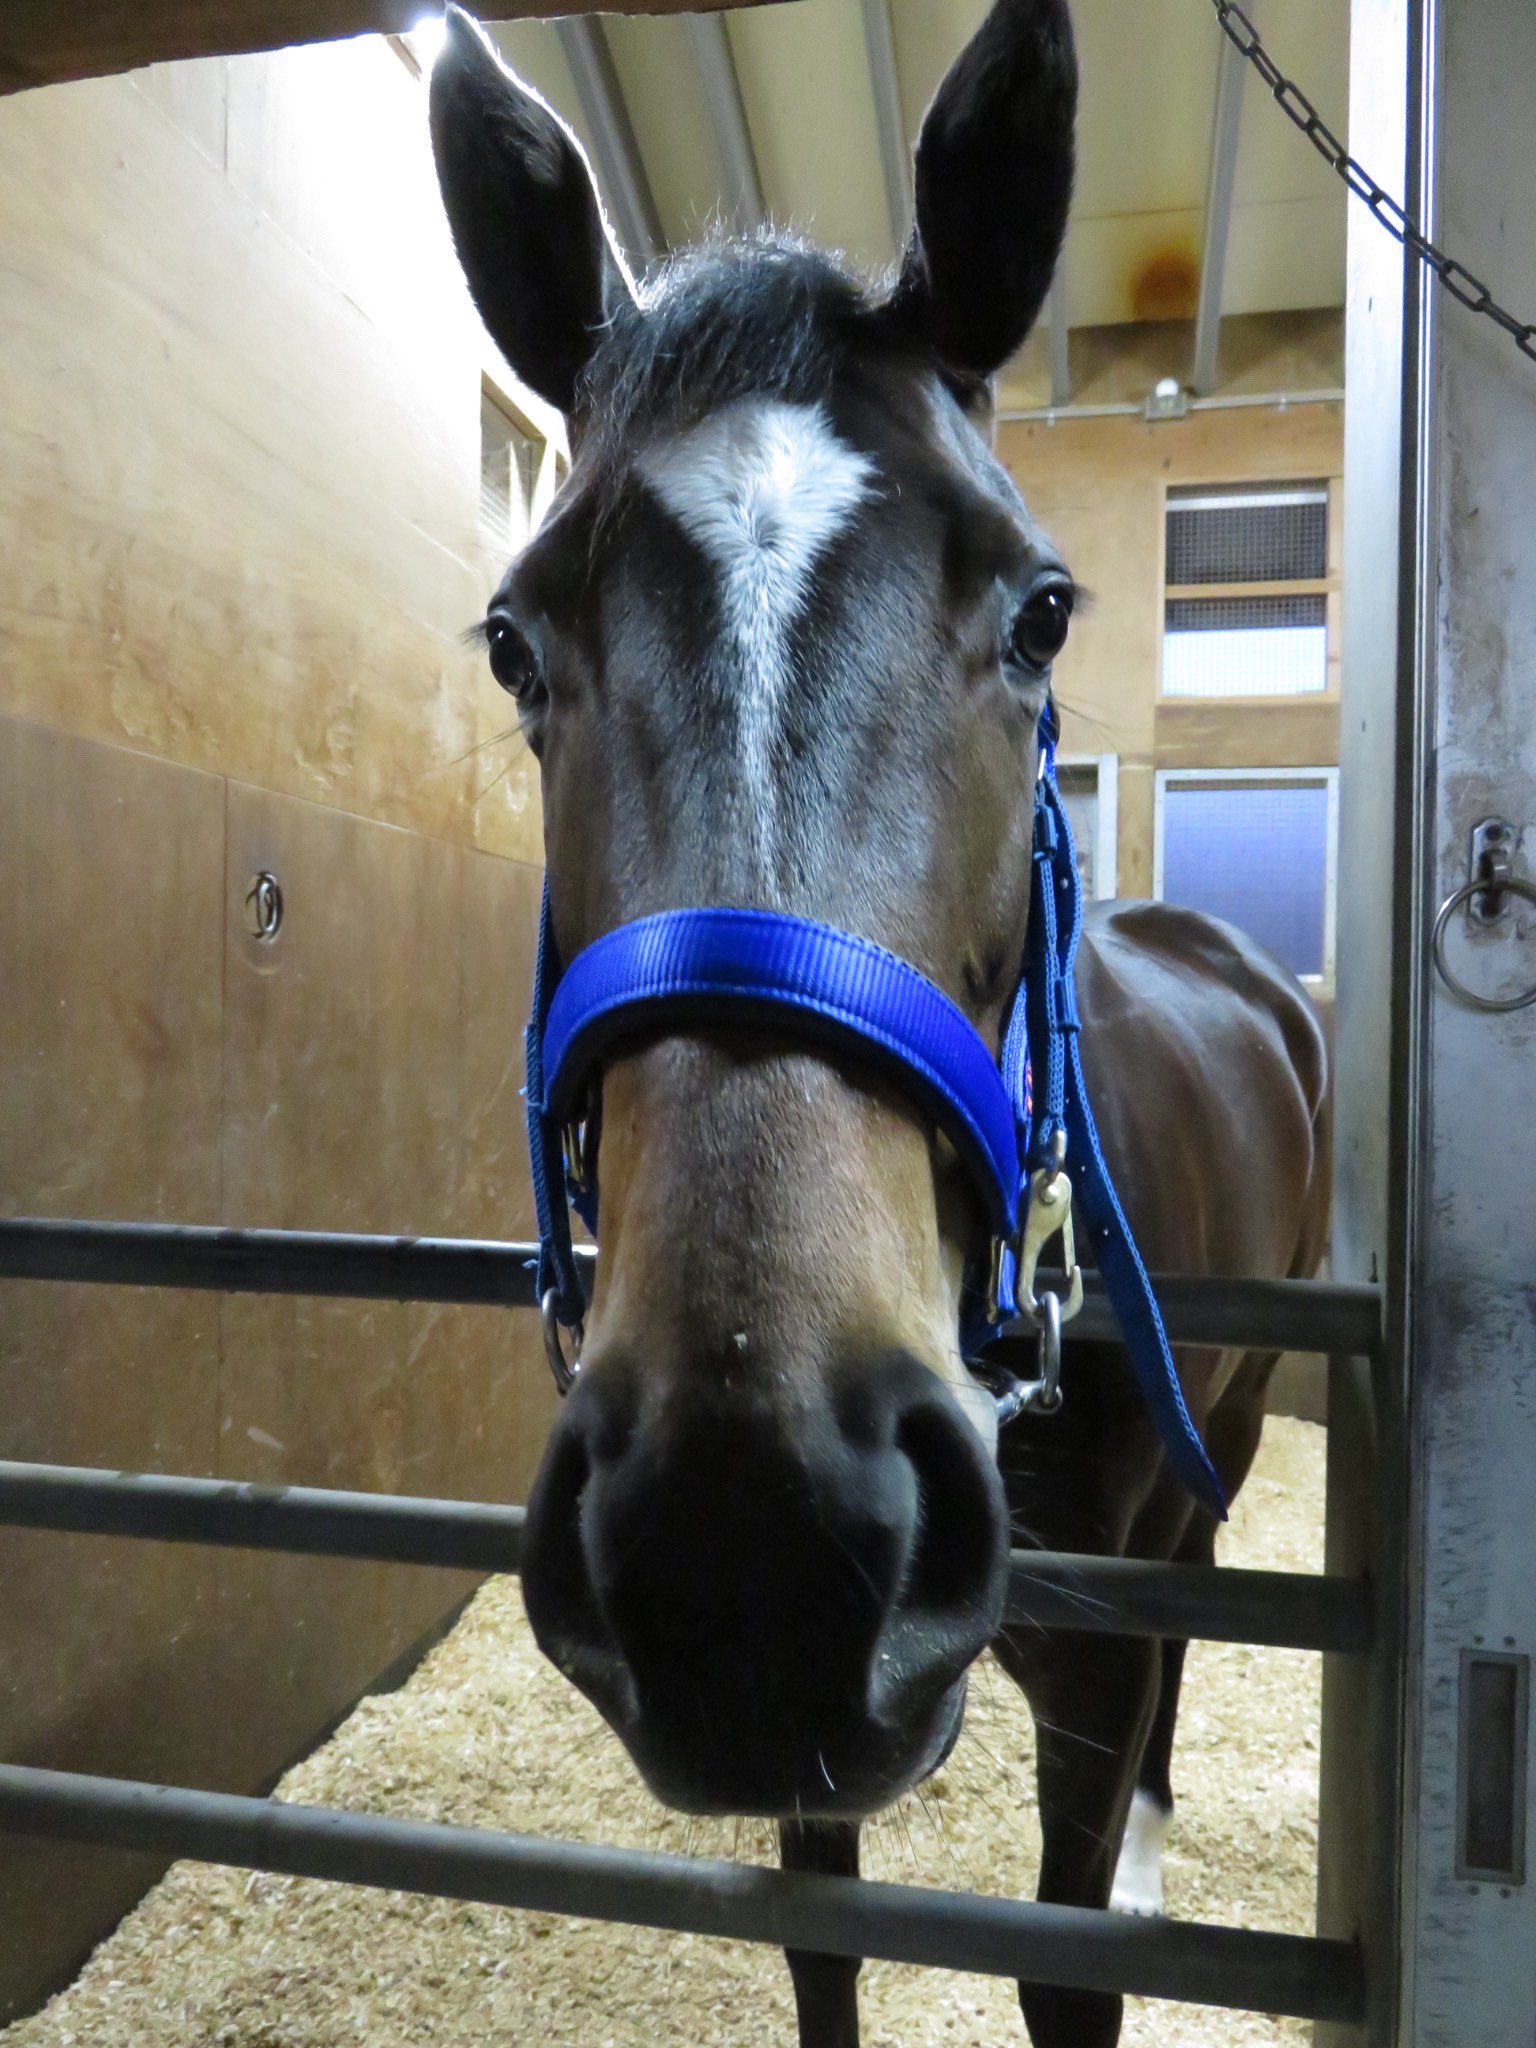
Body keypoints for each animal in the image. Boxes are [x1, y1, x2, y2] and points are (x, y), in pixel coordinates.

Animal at [427, 5, 1331, 2044]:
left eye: (1045, 610)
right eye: (515, 640)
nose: (748, 1516)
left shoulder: (1095, 1656)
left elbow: (1070, 1961)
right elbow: (824, 1950)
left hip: (1223, 1454)